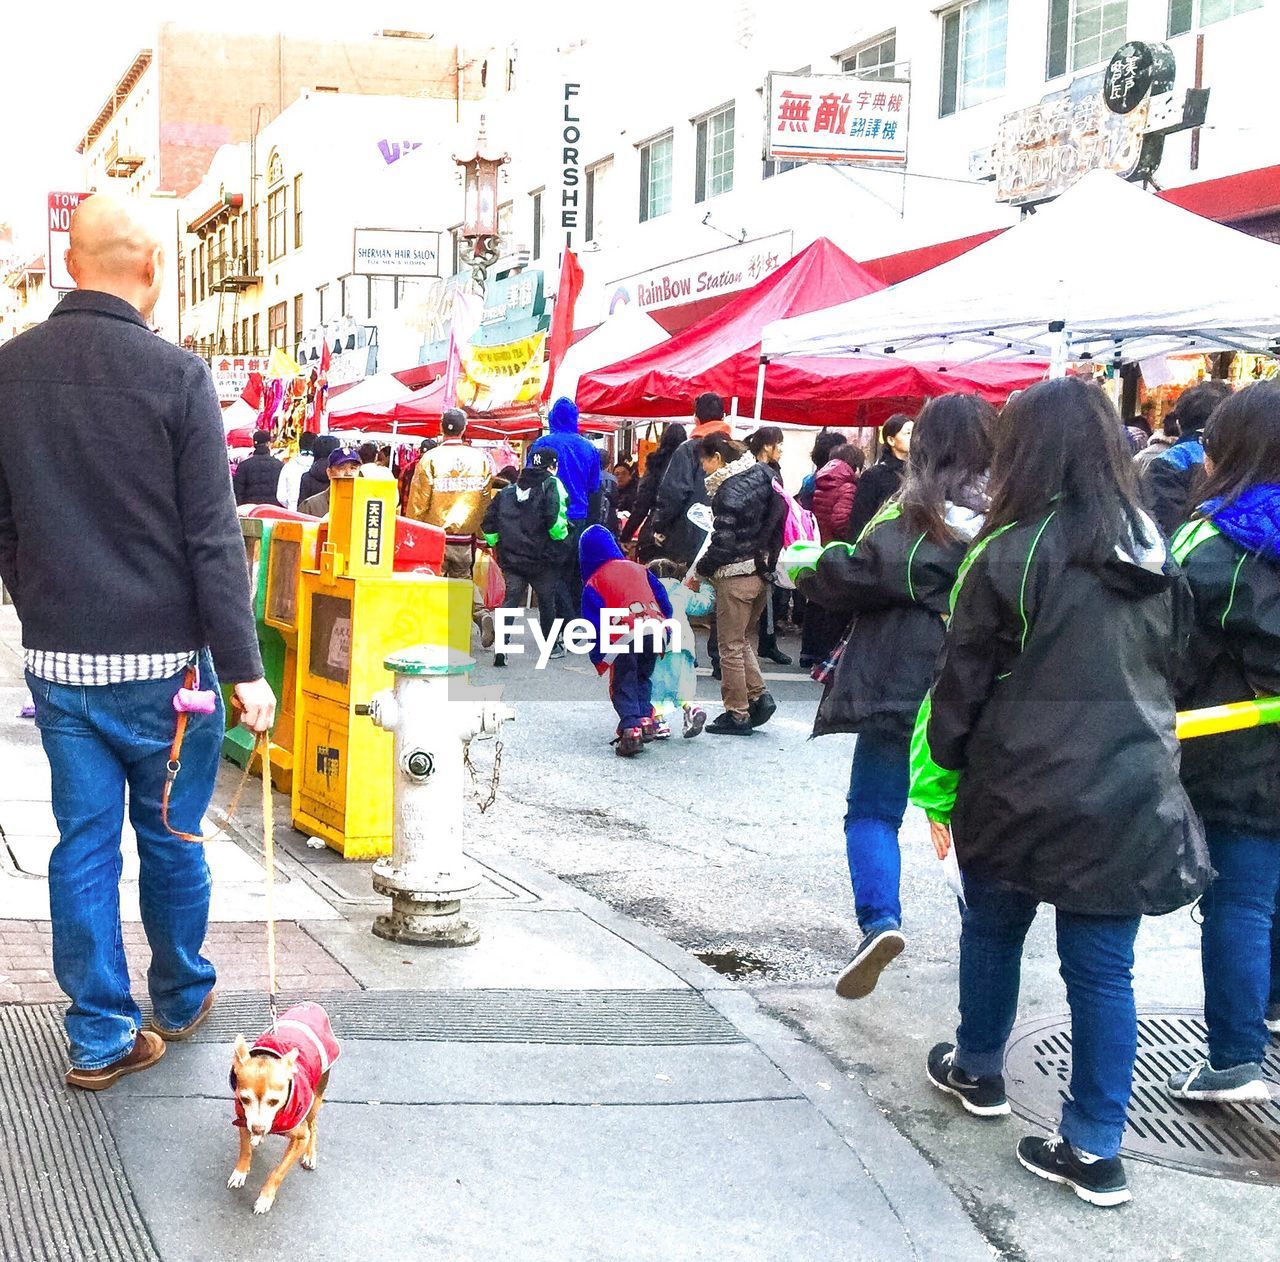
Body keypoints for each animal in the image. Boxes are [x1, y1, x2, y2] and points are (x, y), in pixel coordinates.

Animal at [227, 1003, 340, 1208]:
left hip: (314, 1101)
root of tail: (311, 1006)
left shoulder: (300, 1139)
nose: (258, 1128)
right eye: (244, 1099)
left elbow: (278, 1172)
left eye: (274, 1101)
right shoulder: (243, 1121)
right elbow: (245, 1150)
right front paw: (241, 1171)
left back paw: (310, 1154)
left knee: (313, 1126)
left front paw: (265, 1197)